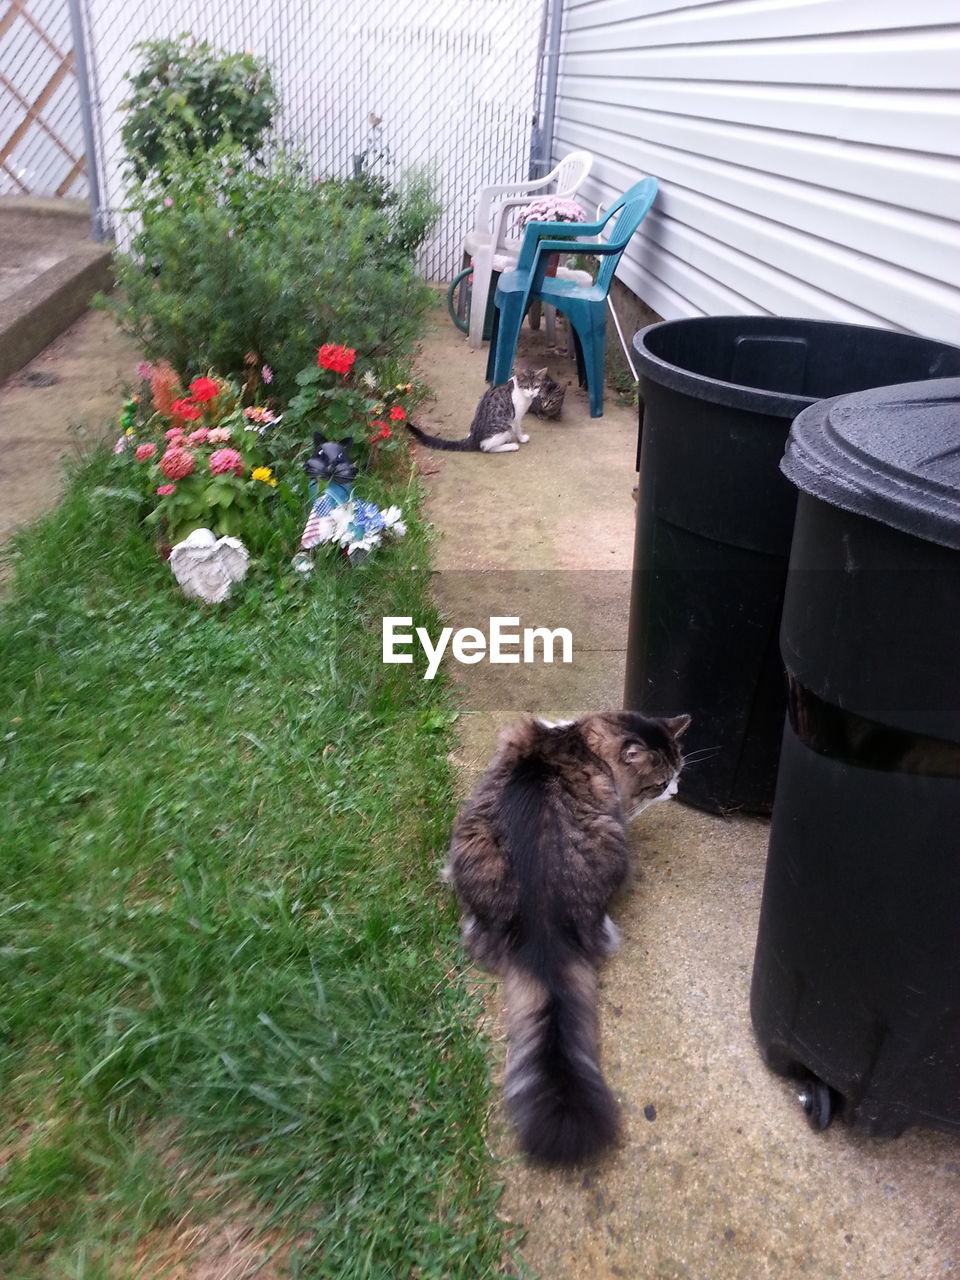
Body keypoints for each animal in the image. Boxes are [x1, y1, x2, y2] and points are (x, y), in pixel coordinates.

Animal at [407, 366, 552, 455]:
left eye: (536, 386)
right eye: (527, 386)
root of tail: (474, 438)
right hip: (505, 426)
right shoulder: (516, 418)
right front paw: (522, 438)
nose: (532, 394)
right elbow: (518, 429)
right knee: (485, 447)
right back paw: (511, 446)